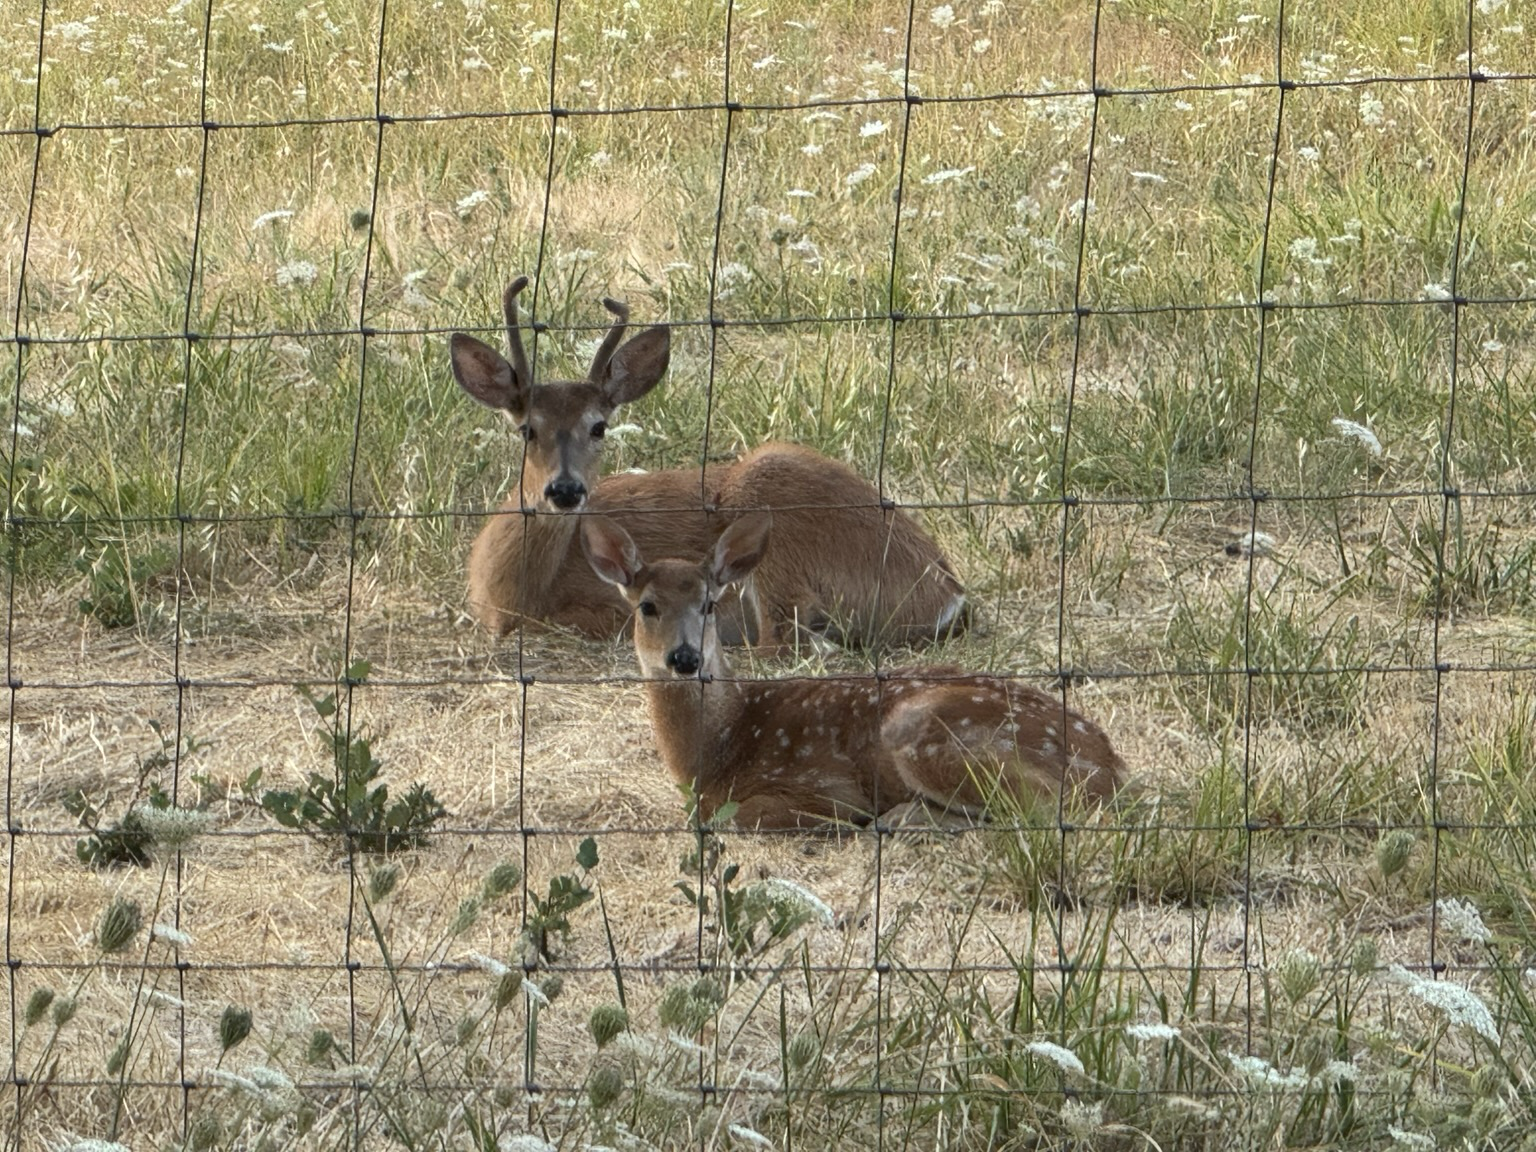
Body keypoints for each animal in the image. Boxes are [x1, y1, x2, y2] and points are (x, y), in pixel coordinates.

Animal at [449, 276, 968, 649]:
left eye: (599, 427)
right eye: (526, 428)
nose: (565, 489)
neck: (513, 594)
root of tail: (949, 596)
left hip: (767, 505)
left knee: (789, 638)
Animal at [580, 511, 1126, 829]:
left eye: (709, 604)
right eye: (647, 606)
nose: (685, 657)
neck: (716, 752)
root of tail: (1112, 770)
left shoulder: (821, 783)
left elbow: (740, 816)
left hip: (928, 734)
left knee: (1039, 808)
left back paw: (903, 818)